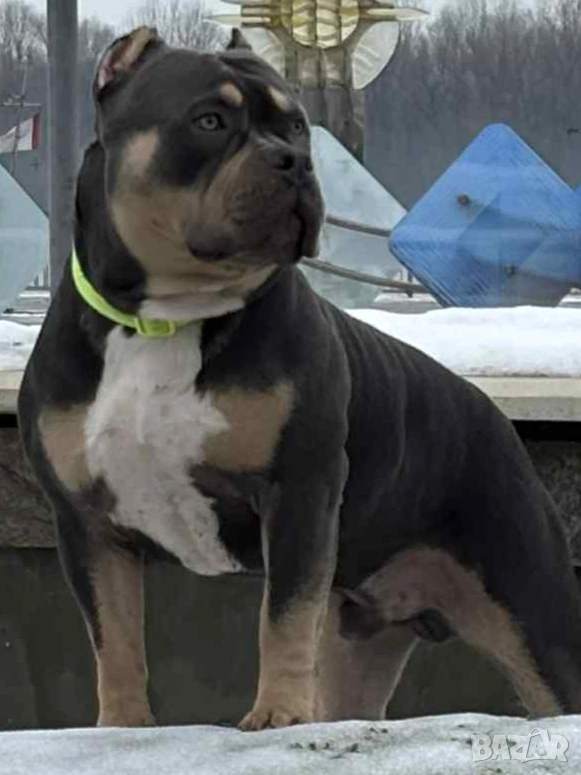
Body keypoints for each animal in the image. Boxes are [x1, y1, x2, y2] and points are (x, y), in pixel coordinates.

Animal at [18, 26, 581, 730]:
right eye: (209, 120)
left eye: (295, 127)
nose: (295, 162)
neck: (166, 319)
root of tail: (494, 418)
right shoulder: (88, 526)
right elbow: (114, 638)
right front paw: (120, 729)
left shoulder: (298, 490)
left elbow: (282, 618)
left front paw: (279, 715)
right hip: (362, 637)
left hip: (533, 611)